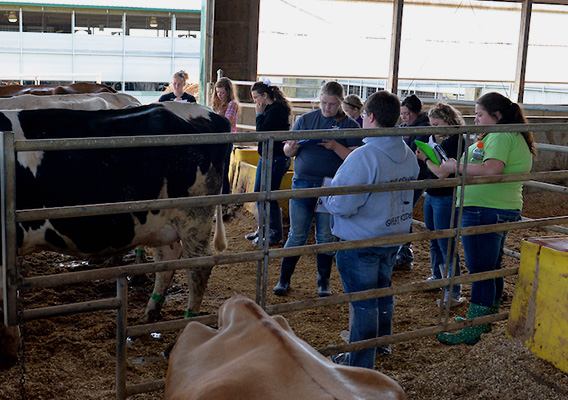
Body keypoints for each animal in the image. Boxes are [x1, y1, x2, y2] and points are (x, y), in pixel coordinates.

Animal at [0, 102, 231, 368]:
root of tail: (210, 114)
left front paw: (8, 347)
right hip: (160, 220)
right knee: (167, 259)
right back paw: (149, 315)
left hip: (193, 215)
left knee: (198, 268)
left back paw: (182, 333)